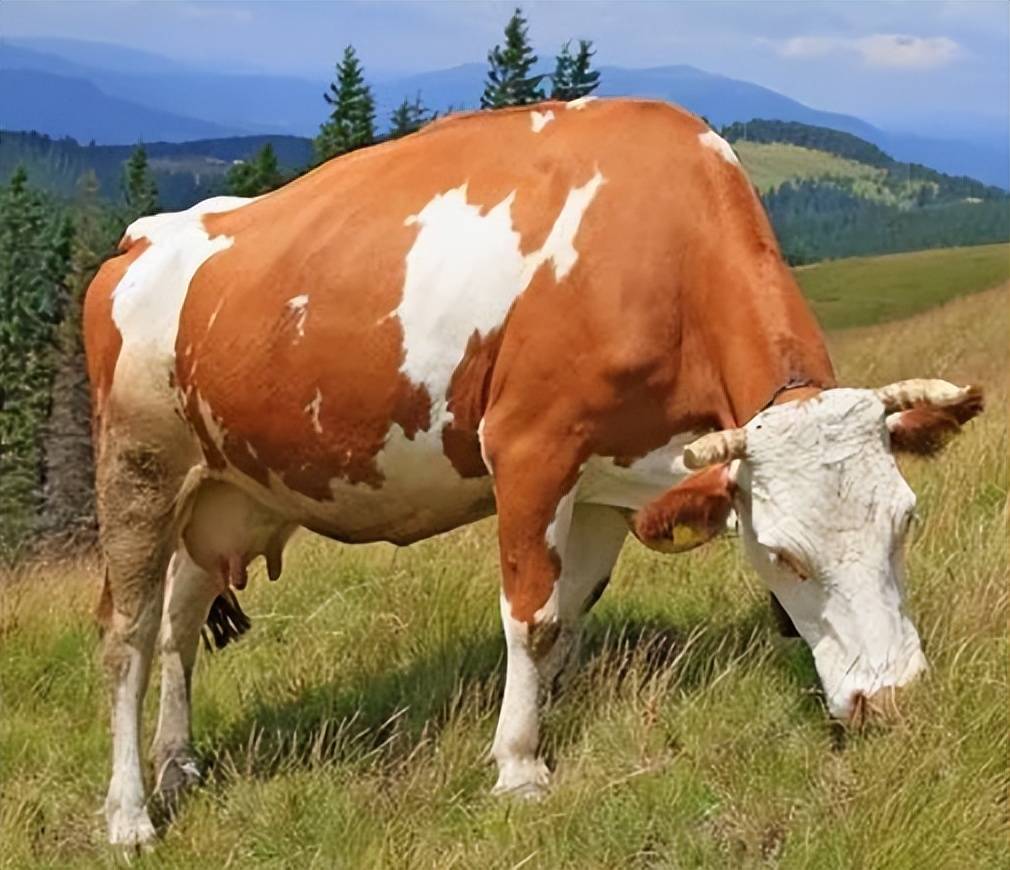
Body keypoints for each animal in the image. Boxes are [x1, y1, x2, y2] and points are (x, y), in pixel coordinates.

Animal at [82, 98, 981, 844]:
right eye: (785, 555)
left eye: (906, 523)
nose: (894, 703)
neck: (662, 249)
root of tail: (142, 237)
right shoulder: (529, 448)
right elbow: (533, 615)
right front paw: (518, 764)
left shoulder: (610, 484)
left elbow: (572, 611)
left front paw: (546, 715)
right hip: (137, 469)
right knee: (128, 635)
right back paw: (130, 814)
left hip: (221, 494)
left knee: (180, 625)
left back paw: (178, 763)